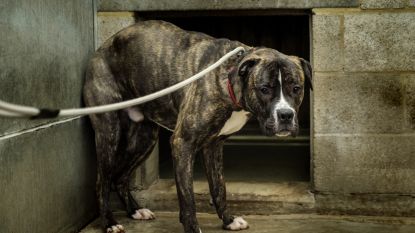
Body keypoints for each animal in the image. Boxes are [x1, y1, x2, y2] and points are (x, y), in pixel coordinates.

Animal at [83, 20, 312, 233]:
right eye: (264, 89)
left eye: (296, 88)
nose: (285, 115)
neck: (230, 81)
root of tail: (101, 48)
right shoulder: (183, 143)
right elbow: (188, 199)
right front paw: (193, 227)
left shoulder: (213, 146)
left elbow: (219, 188)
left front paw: (229, 220)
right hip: (109, 133)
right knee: (102, 182)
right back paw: (110, 222)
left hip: (144, 139)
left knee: (120, 178)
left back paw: (135, 210)